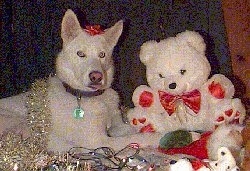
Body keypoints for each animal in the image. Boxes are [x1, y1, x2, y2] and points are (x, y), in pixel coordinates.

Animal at [0, 9, 162, 152]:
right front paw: (158, 137)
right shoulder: (100, 141)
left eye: (102, 54)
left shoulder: (117, 124)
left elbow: (129, 128)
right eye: (80, 54)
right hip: (21, 123)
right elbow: (136, 138)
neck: (90, 97)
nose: (96, 76)